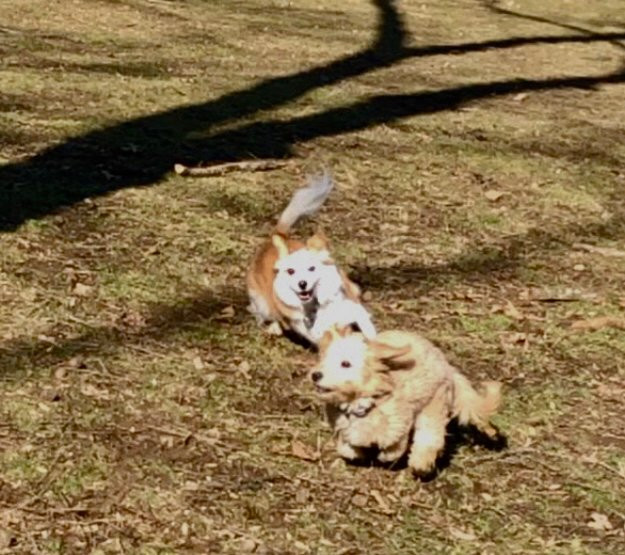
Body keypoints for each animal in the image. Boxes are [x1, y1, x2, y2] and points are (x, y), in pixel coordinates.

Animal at [247, 176, 376, 346]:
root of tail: (274, 239)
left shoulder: (350, 307)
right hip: (261, 302)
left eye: (312, 268)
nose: (302, 284)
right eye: (290, 271)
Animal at [312, 326, 502, 478]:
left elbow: (394, 448)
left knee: (429, 434)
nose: (315, 374)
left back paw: (421, 463)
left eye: (345, 364)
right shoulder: (344, 428)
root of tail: (448, 368)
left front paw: (385, 457)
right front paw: (355, 452)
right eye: (323, 360)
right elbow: (346, 448)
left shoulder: (398, 425)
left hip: (434, 402)